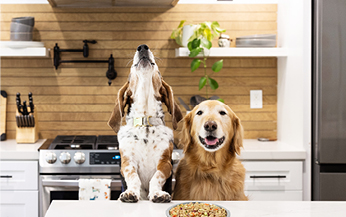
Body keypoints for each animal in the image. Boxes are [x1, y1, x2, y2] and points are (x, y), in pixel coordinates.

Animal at [107, 44, 184, 203]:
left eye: (158, 72)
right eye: (131, 69)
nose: (142, 47)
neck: (145, 120)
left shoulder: (165, 163)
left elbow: (156, 178)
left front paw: (158, 194)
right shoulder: (127, 163)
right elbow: (134, 178)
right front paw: (130, 193)